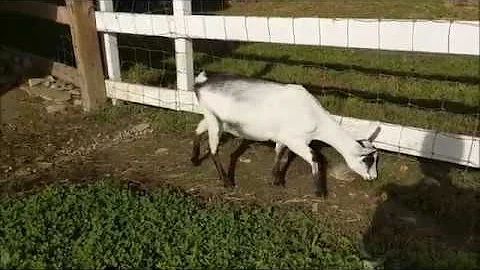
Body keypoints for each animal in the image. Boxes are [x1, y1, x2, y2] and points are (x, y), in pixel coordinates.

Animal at [190, 70, 378, 196]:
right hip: (214, 120)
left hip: (213, 118)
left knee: (198, 129)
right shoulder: (295, 141)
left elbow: (279, 153)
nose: (374, 178)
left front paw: (276, 179)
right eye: (367, 160)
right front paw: (319, 191)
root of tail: (201, 82)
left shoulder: (283, 137)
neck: (316, 118)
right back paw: (226, 182)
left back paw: (194, 160)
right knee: (213, 149)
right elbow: (315, 157)